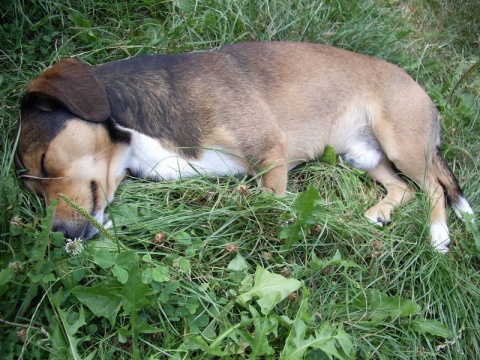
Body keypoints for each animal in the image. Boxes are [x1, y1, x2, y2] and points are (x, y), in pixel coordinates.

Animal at [16, 42, 474, 252]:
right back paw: (381, 211)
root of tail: (421, 90)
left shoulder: (270, 156)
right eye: (33, 190)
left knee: (433, 187)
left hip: (401, 144)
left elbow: (263, 204)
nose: (58, 237)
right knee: (403, 188)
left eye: (46, 160)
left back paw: (438, 235)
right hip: (361, 155)